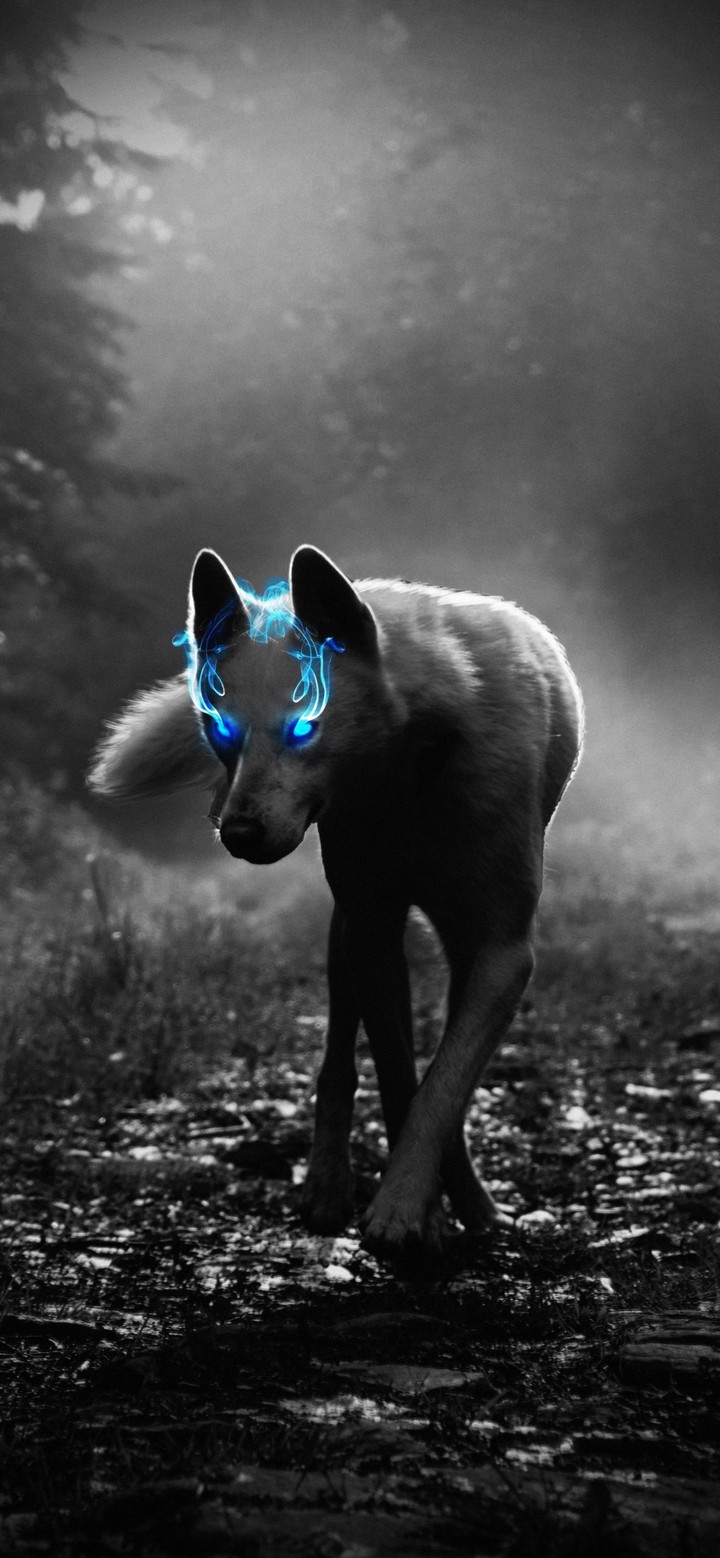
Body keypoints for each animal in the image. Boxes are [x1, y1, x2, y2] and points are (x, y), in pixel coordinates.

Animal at [89, 544, 583, 1265]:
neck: (411, 774)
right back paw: (328, 1185)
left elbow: (443, 1084)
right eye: (223, 730)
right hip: (347, 932)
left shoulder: (502, 952)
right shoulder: (374, 931)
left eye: (304, 726)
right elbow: (402, 1079)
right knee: (339, 1059)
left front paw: (418, 1205)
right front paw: (420, 1209)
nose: (236, 833)